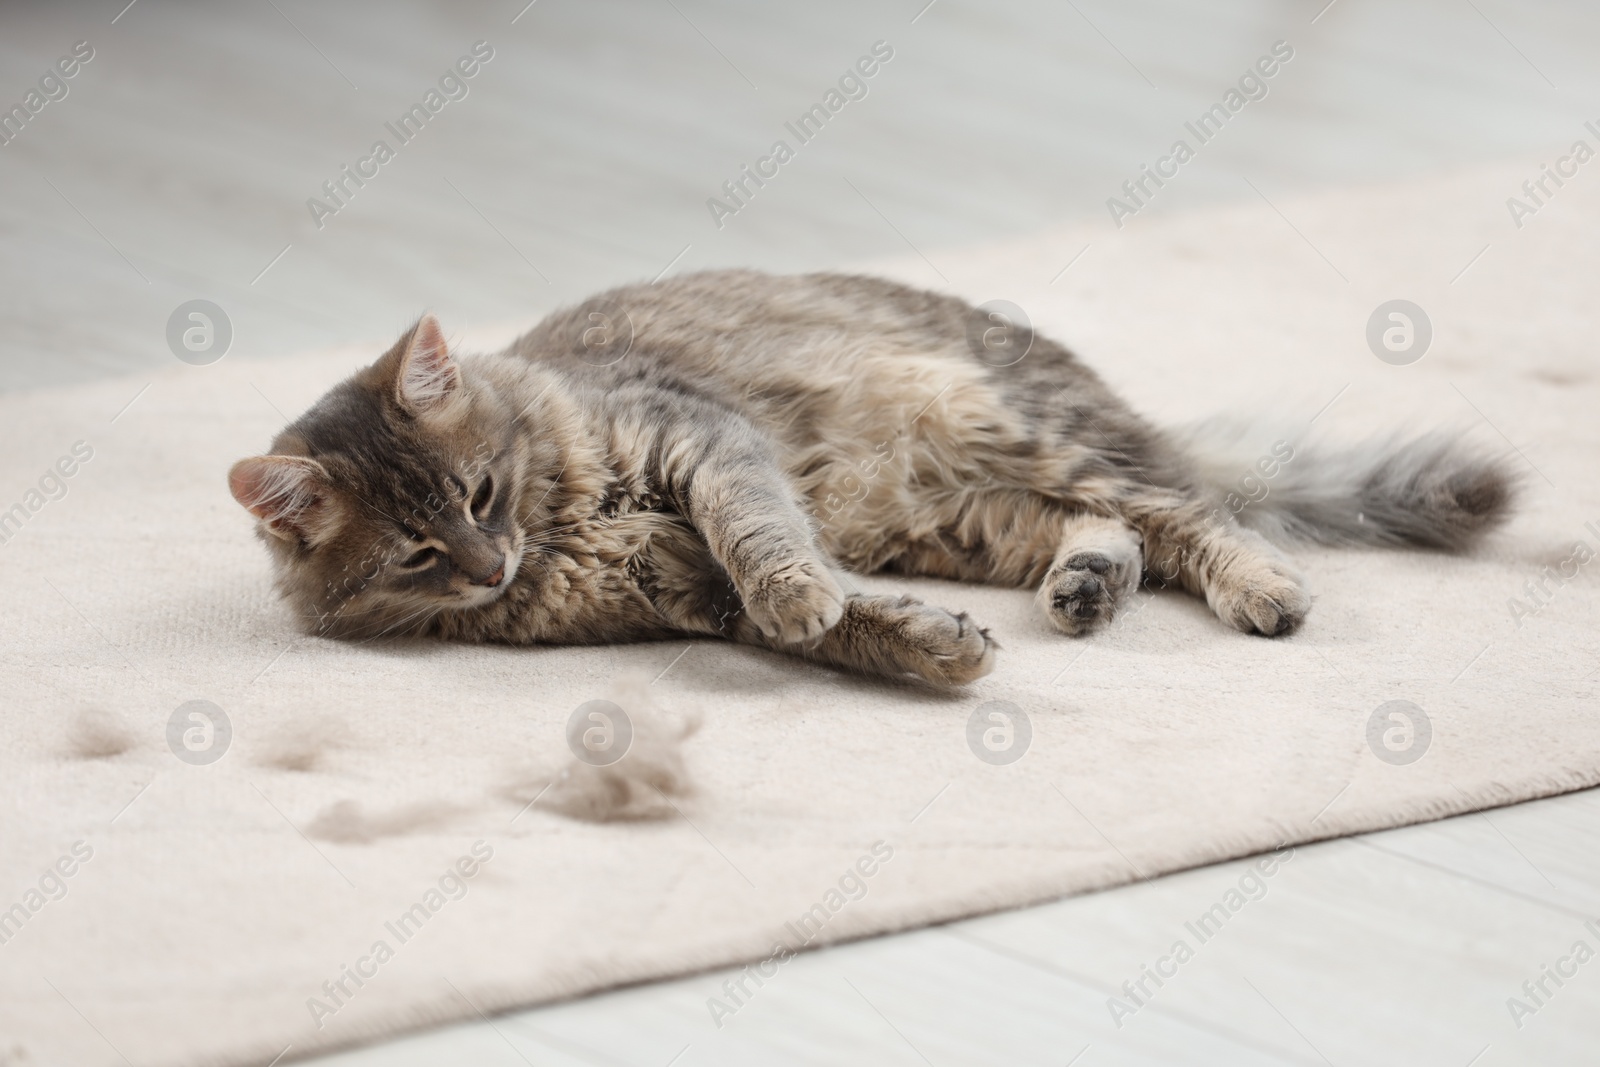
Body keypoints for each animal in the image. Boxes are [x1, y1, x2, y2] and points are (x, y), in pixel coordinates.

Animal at [225, 267, 1510, 684]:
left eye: (481, 496)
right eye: (418, 553)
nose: (491, 566)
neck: (571, 529)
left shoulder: (699, 440)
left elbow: (763, 540)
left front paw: (803, 596)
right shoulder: (679, 586)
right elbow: (847, 620)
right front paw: (925, 645)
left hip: (1013, 434)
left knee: (1187, 512)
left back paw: (1263, 588)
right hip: (967, 519)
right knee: (1112, 529)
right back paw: (1085, 588)